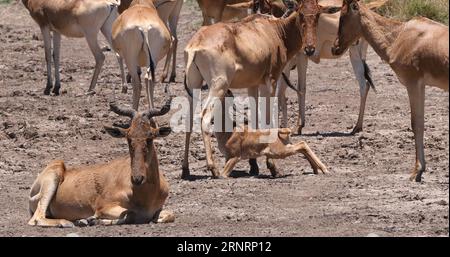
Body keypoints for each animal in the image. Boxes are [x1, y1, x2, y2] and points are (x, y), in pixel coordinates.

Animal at [27, 98, 173, 226]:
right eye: (128, 137)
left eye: (150, 137)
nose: (137, 179)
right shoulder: (104, 206)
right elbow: (129, 214)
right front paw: (90, 219)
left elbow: (170, 215)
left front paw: (88, 220)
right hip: (53, 177)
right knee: (36, 219)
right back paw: (67, 223)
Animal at [182, 0, 338, 178]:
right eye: (300, 13)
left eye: (318, 14)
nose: (310, 49)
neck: (273, 30)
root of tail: (195, 44)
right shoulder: (270, 82)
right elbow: (267, 119)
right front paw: (272, 166)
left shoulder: (253, 84)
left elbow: (255, 119)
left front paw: (254, 165)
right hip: (219, 86)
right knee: (205, 117)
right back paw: (213, 168)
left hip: (193, 84)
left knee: (188, 119)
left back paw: (185, 170)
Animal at [328, 0, 448, 181]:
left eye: (343, 16)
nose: (335, 48)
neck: (400, 35)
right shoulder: (421, 86)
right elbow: (420, 122)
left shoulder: (413, 84)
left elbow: (416, 124)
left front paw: (416, 171)